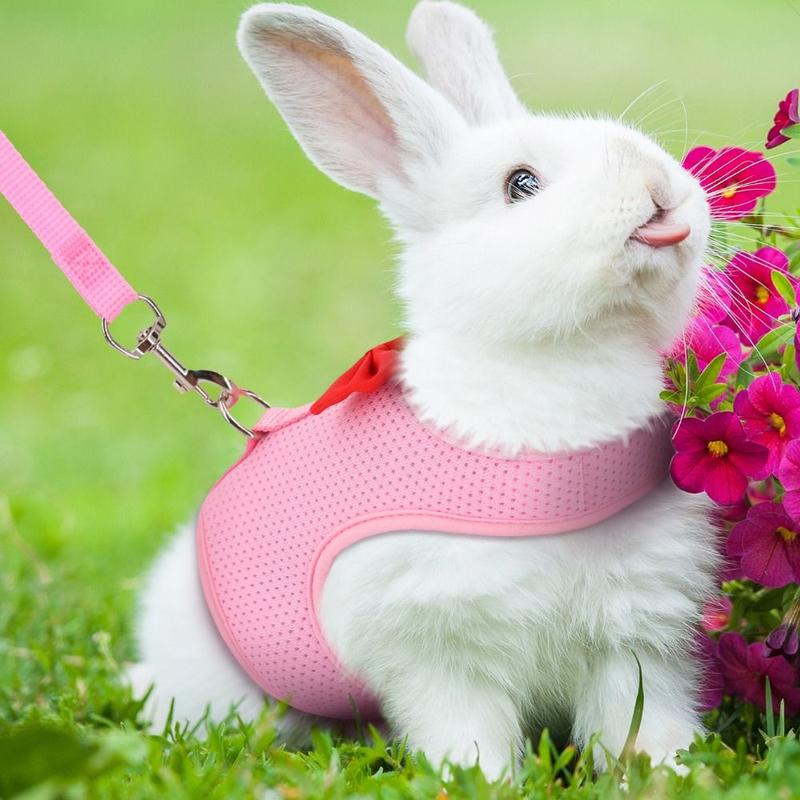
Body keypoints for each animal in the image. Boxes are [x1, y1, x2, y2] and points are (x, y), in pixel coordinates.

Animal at [130, 0, 718, 780]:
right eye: (521, 184)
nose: (660, 186)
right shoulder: (436, 646)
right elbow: (464, 728)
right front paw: (484, 782)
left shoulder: (636, 635)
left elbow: (639, 722)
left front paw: (673, 773)